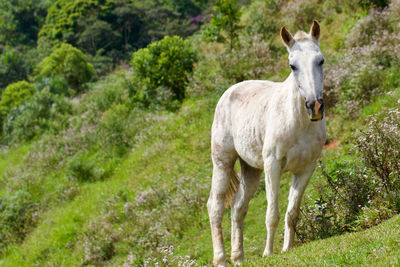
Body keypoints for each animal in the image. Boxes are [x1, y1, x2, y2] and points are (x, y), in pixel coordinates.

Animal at [208, 21, 326, 267]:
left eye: (320, 60)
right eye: (292, 65)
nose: (315, 107)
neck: (298, 121)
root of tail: (229, 92)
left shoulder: (306, 168)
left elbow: (292, 212)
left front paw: (288, 248)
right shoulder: (273, 166)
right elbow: (272, 213)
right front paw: (268, 253)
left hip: (251, 170)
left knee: (237, 207)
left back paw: (238, 257)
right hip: (223, 163)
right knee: (215, 207)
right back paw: (221, 258)